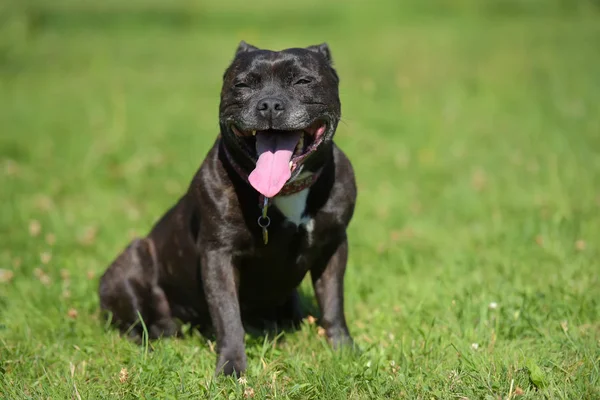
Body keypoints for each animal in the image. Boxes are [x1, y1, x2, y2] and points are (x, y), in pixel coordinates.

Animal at [98, 42, 356, 376]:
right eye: (242, 85)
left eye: (302, 81)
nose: (269, 104)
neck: (285, 191)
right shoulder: (218, 256)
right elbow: (228, 314)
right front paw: (232, 367)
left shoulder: (333, 246)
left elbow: (334, 301)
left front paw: (344, 349)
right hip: (130, 263)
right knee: (134, 324)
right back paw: (153, 340)